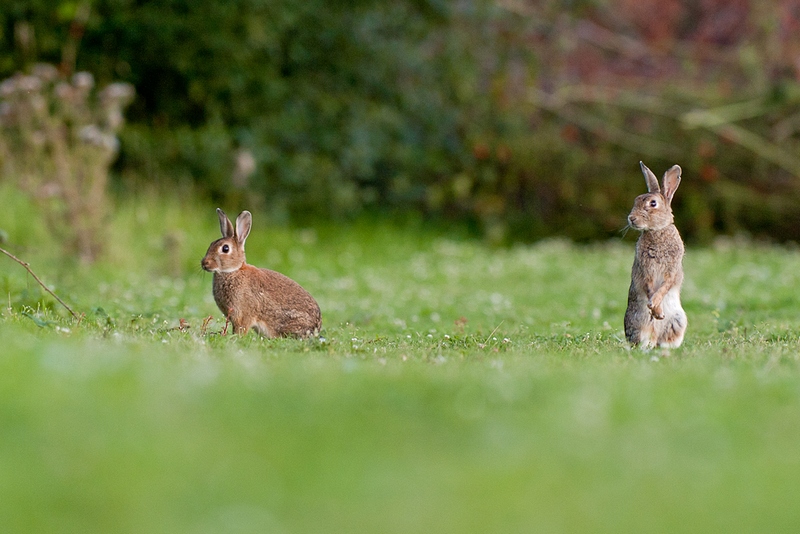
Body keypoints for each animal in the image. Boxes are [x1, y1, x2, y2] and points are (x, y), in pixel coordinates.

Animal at [200, 209, 322, 340]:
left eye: (225, 248)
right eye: (211, 244)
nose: (204, 263)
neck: (234, 270)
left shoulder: (243, 314)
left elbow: (241, 328)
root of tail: (316, 329)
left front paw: (236, 338)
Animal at [624, 161, 688, 350]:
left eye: (653, 203)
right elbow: (650, 287)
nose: (631, 218)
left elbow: (664, 287)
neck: (657, 231)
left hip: (678, 321)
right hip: (640, 323)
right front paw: (656, 310)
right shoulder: (646, 270)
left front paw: (656, 307)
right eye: (636, 200)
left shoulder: (671, 271)